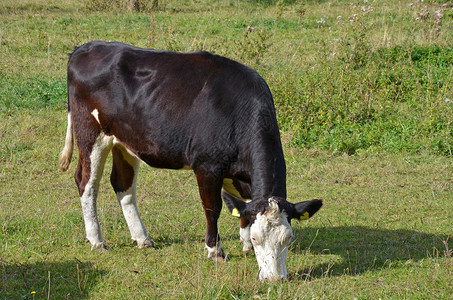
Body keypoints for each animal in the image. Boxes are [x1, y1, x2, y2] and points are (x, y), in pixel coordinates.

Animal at [59, 40, 322, 282]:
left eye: (288, 238)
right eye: (259, 238)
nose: (274, 279)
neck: (240, 111)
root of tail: (88, 46)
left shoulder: (238, 173)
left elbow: (243, 205)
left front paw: (244, 243)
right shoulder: (207, 166)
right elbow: (213, 208)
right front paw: (216, 250)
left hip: (125, 141)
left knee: (123, 185)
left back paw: (142, 238)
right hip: (90, 132)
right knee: (86, 183)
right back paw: (97, 240)